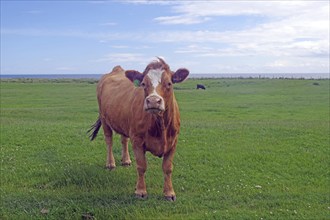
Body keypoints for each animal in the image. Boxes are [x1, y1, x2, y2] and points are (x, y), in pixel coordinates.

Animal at [89, 58, 189, 201]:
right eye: (143, 84)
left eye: (169, 83)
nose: (153, 101)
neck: (160, 126)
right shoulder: (137, 140)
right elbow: (141, 166)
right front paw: (140, 191)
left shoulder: (173, 141)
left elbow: (168, 167)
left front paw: (169, 193)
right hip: (104, 120)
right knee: (109, 141)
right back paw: (110, 164)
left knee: (124, 140)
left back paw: (126, 160)